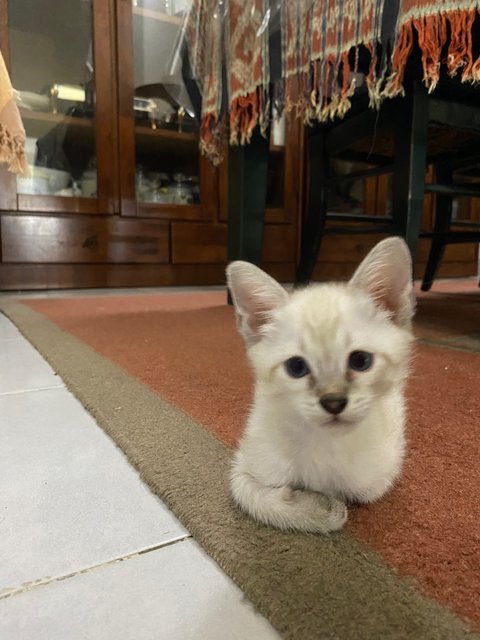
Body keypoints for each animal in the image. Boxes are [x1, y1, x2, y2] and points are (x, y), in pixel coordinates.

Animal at [227, 238, 414, 532]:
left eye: (360, 360)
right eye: (296, 367)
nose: (333, 402)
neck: (325, 444)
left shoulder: (383, 472)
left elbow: (364, 492)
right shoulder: (244, 465)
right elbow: (252, 496)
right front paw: (321, 509)